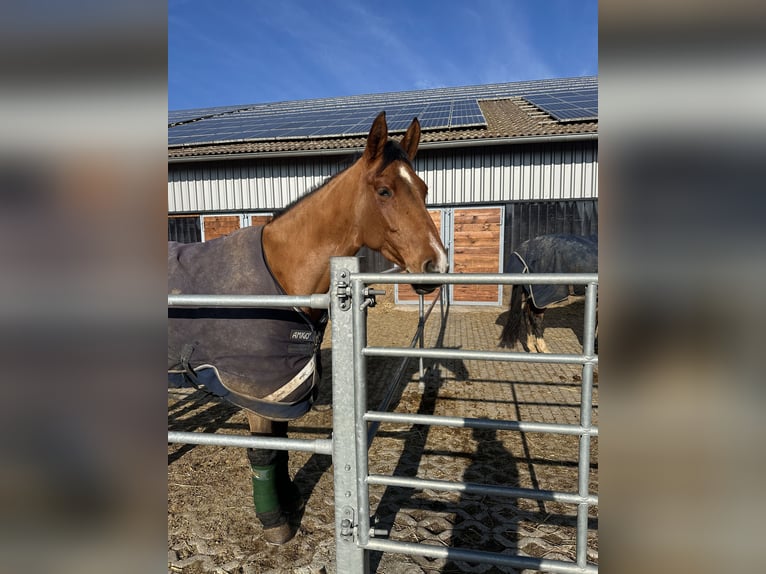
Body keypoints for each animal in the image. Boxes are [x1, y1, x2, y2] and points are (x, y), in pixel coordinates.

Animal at [168, 111, 450, 544]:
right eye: (384, 191)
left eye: (423, 188)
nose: (436, 265)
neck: (280, 274)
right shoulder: (257, 389)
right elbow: (264, 451)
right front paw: (275, 522)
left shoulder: (282, 386)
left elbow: (282, 444)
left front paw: (290, 498)